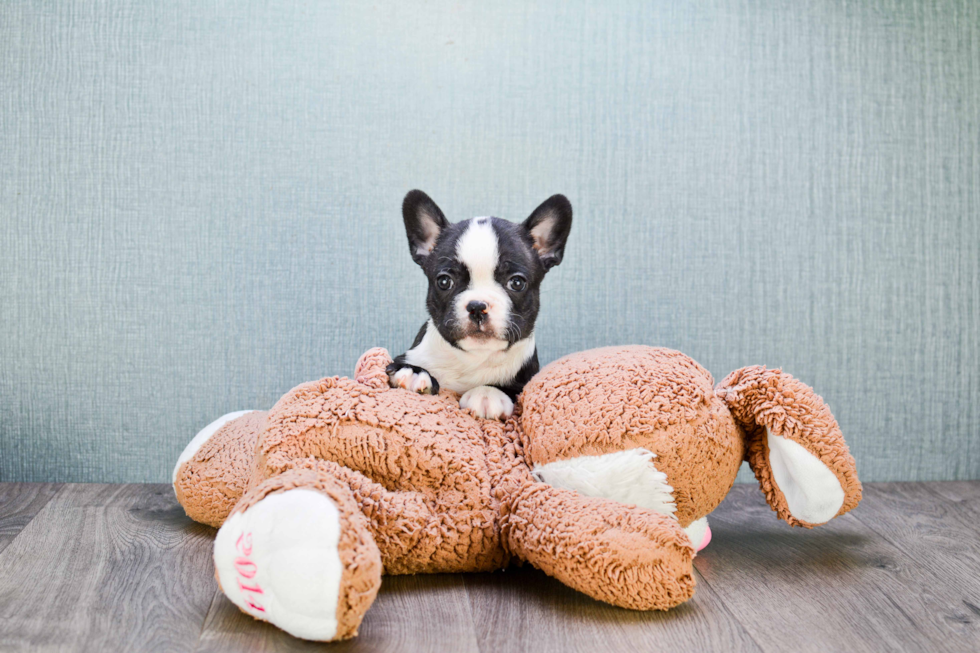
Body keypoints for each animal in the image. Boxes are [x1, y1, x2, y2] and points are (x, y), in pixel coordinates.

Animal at [384, 191, 572, 420]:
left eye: (517, 283)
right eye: (444, 281)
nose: (477, 306)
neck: (473, 357)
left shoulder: (525, 378)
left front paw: (486, 393)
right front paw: (412, 372)